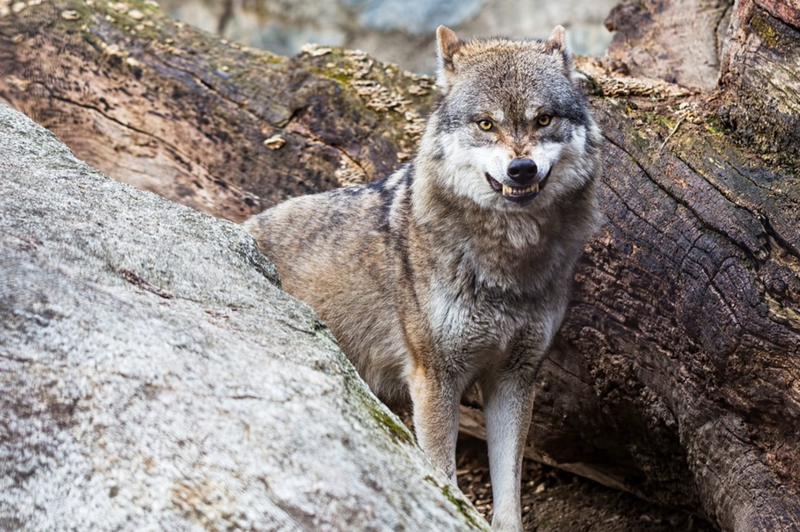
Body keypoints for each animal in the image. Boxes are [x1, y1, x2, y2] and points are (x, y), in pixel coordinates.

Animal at [244, 25, 600, 532]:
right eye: (485, 124)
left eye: (543, 119)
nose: (521, 169)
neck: (506, 262)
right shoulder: (434, 377)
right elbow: (443, 476)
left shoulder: (515, 377)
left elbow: (508, 495)